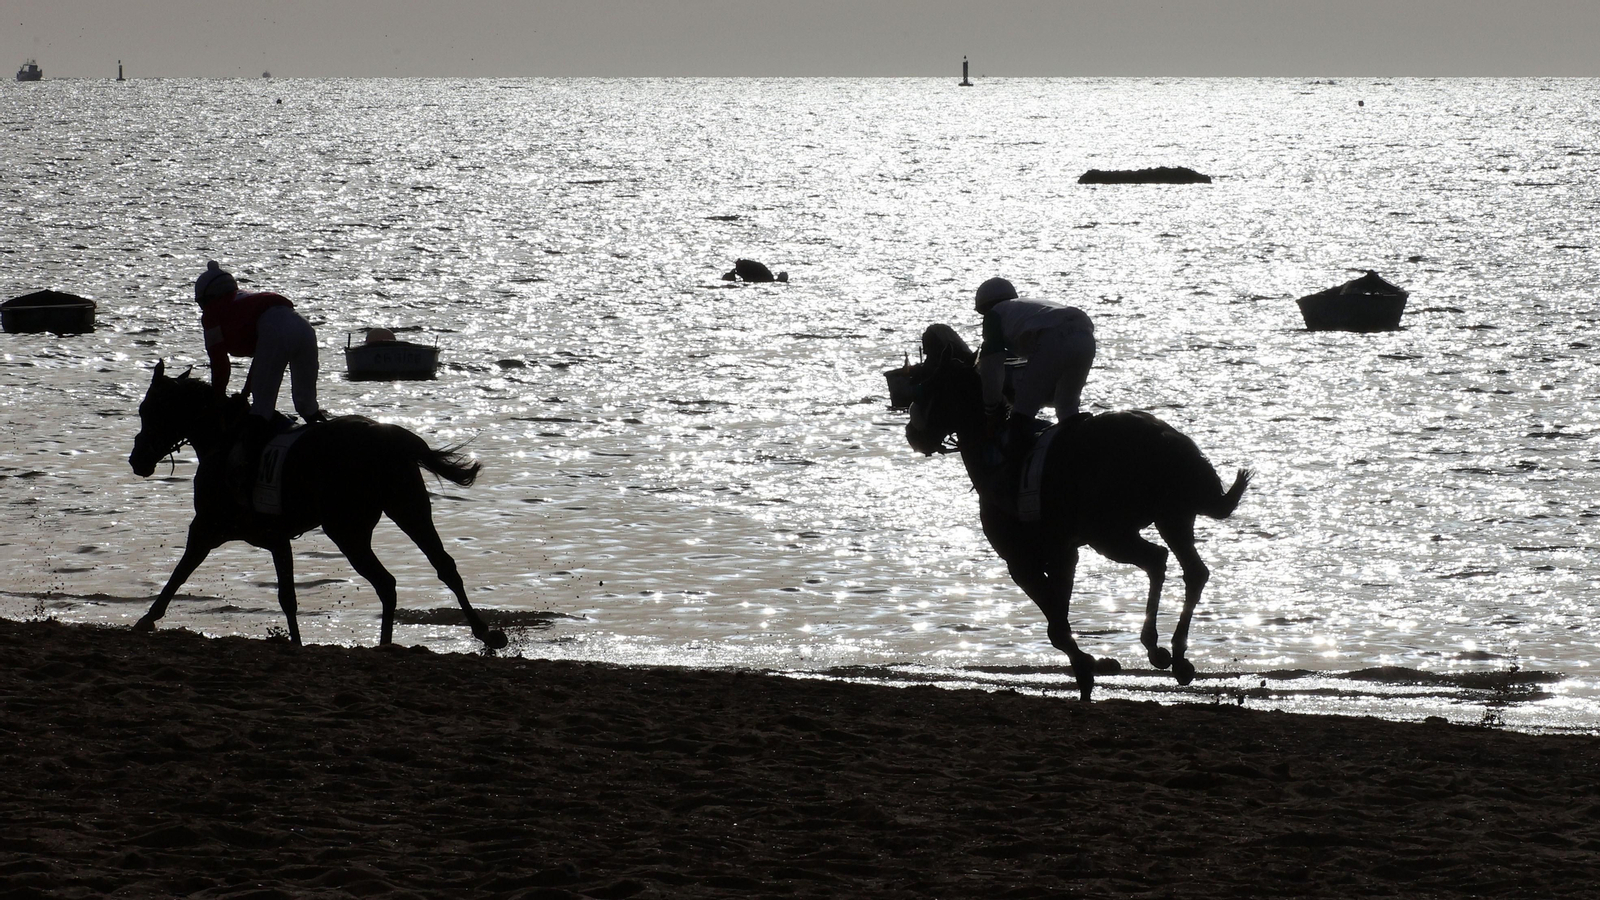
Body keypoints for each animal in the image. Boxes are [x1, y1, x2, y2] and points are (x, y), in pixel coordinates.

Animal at [127, 361, 507, 650]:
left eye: (147, 410)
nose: (137, 459)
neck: (224, 439)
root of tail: (391, 438)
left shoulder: (210, 526)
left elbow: (182, 572)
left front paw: (147, 618)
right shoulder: (273, 539)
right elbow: (286, 595)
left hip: (347, 530)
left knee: (387, 581)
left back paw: (390, 643)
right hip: (408, 509)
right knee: (441, 566)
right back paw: (479, 633)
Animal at [901, 324, 1250, 700]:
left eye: (928, 388)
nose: (912, 433)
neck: (993, 449)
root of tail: (1166, 439)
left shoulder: (1021, 561)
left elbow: (1056, 626)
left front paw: (1089, 668)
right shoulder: (1064, 553)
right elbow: (1059, 617)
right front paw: (1093, 665)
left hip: (1109, 532)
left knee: (1157, 559)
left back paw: (1156, 648)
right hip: (1172, 517)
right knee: (1192, 571)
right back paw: (1178, 655)